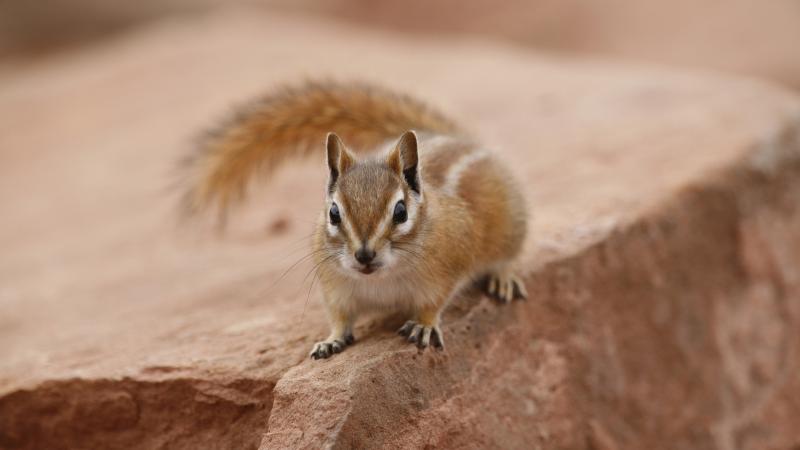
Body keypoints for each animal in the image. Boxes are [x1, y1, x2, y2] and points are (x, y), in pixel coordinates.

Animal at [181, 81, 528, 359]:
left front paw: (424, 325)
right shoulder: (336, 287)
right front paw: (331, 340)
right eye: (334, 213)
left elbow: (433, 304)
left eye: (400, 212)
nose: (364, 254)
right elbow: (340, 318)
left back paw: (504, 278)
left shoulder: (445, 272)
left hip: (511, 232)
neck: (381, 281)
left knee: (509, 257)